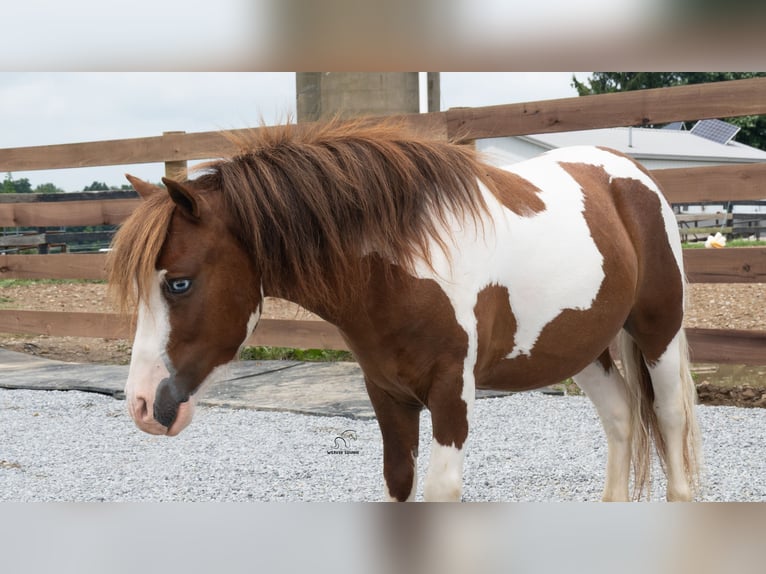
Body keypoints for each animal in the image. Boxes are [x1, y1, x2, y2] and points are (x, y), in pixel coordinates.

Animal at [108, 120, 701, 502]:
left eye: (180, 283)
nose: (143, 404)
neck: (398, 267)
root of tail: (628, 170)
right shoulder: (386, 392)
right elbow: (398, 480)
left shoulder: (451, 393)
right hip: (579, 346)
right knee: (622, 417)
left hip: (658, 334)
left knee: (670, 421)